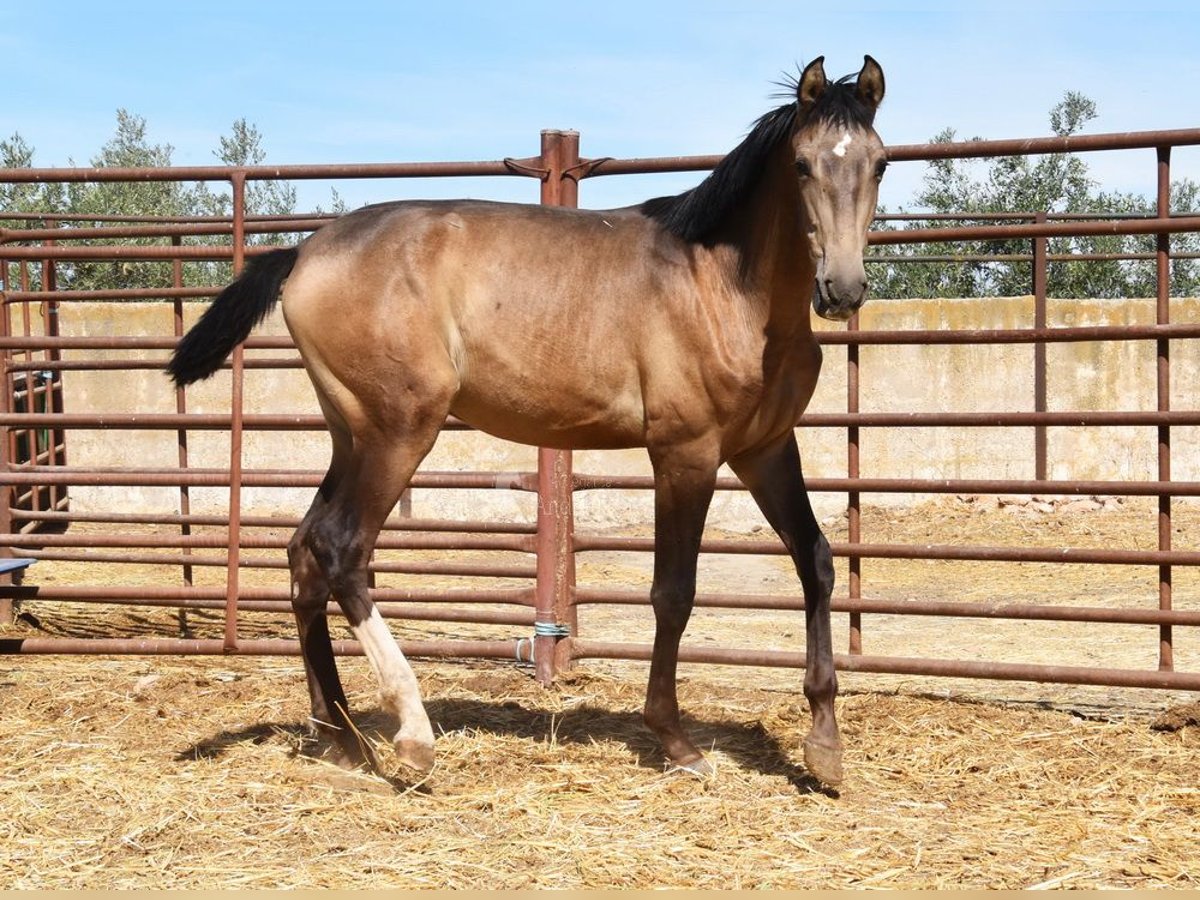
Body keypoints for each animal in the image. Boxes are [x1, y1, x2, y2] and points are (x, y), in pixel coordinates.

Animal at [166, 58, 883, 787]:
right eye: (801, 164)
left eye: (878, 164)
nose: (842, 289)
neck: (721, 288)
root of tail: (304, 254)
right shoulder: (687, 452)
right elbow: (674, 593)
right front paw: (677, 741)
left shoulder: (765, 449)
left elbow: (817, 562)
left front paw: (824, 747)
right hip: (399, 431)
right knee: (342, 550)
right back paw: (412, 736)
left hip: (353, 434)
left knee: (304, 553)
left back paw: (342, 738)